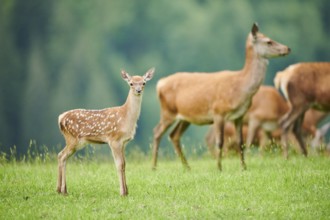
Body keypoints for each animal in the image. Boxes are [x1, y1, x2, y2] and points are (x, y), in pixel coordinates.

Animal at [57, 67, 155, 196]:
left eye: (144, 83)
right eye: (131, 83)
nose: (138, 90)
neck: (126, 117)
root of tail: (60, 118)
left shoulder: (123, 142)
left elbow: (124, 164)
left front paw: (127, 191)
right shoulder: (114, 140)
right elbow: (119, 164)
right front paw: (122, 192)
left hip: (73, 141)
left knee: (61, 156)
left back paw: (61, 189)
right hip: (73, 139)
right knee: (62, 156)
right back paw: (62, 190)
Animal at [151, 23, 288, 170]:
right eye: (269, 41)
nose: (287, 48)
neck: (240, 89)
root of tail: (159, 84)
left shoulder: (239, 116)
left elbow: (240, 141)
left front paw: (244, 167)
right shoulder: (218, 112)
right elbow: (220, 141)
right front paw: (219, 167)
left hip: (185, 117)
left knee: (174, 135)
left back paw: (187, 167)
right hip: (168, 111)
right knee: (157, 132)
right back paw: (154, 167)